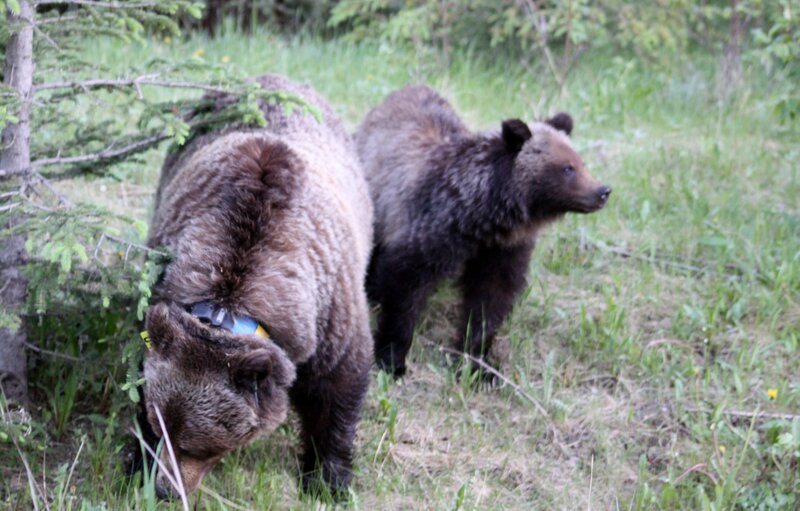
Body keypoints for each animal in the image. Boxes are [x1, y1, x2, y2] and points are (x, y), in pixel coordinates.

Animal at [140, 74, 373, 498]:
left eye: (197, 445)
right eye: (159, 424)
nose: (167, 489)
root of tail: (273, 77)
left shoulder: (329, 315)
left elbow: (338, 388)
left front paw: (328, 480)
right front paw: (138, 462)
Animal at [355, 84, 610, 378]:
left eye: (581, 162)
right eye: (567, 167)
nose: (603, 191)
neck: (486, 217)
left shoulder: (503, 248)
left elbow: (490, 298)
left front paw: (477, 362)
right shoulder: (434, 228)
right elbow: (405, 285)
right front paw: (392, 358)